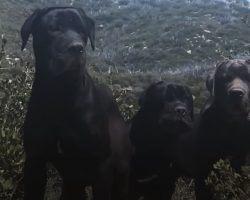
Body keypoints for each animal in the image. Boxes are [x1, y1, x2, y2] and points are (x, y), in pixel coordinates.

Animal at [21, 7, 131, 199]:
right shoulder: (35, 160)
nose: (77, 48)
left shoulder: (101, 165)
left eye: (82, 32)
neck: (62, 94)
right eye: (54, 28)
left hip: (120, 170)